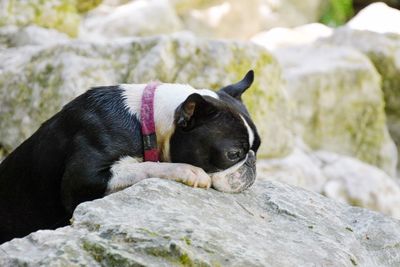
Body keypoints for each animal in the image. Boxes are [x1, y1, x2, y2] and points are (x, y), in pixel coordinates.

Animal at [0, 70, 260, 244]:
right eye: (233, 154)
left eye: (257, 147)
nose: (252, 162)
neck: (146, 119)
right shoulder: (82, 179)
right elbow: (144, 166)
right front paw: (188, 170)